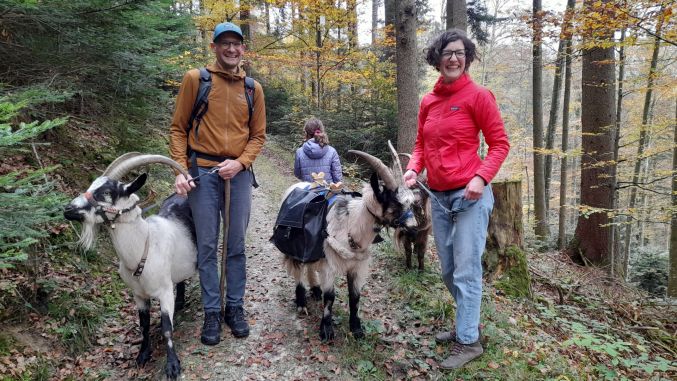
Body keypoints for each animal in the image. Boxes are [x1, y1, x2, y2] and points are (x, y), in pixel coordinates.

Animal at [62, 153, 195, 378]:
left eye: (107, 192)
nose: (68, 209)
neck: (144, 247)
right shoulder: (138, 295)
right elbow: (144, 326)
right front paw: (142, 356)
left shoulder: (164, 291)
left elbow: (167, 328)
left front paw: (173, 366)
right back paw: (180, 304)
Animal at [282, 147, 418, 340]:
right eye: (394, 203)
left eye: (411, 203)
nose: (414, 228)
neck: (351, 225)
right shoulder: (329, 265)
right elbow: (330, 297)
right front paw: (326, 331)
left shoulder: (357, 266)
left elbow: (355, 297)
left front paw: (356, 329)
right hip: (295, 246)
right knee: (297, 270)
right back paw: (301, 303)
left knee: (309, 266)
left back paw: (315, 289)